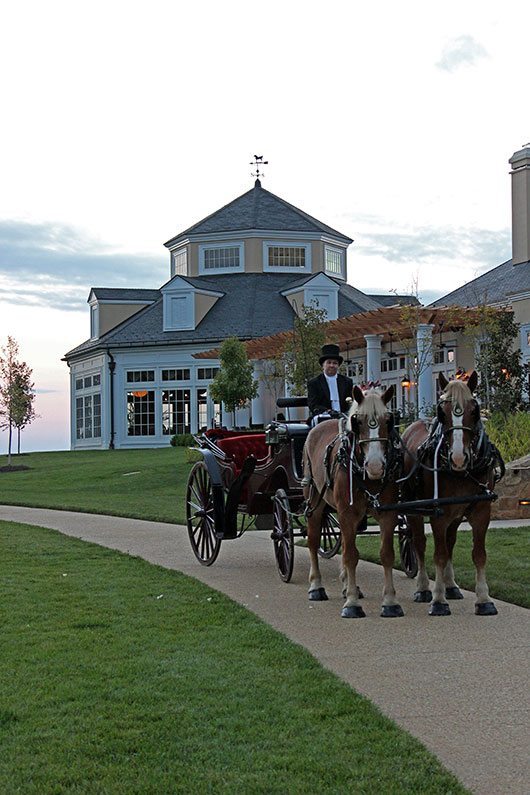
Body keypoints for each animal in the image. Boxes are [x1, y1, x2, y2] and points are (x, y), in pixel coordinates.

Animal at [302, 382, 400, 620]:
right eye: (358, 421)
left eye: (388, 420)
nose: (375, 466)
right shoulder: (347, 512)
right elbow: (351, 556)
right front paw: (352, 604)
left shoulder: (388, 513)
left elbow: (386, 555)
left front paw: (390, 602)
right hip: (315, 502)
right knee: (313, 541)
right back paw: (316, 586)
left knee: (345, 543)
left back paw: (347, 585)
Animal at [402, 370, 502, 620]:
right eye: (441, 411)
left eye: (474, 410)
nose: (458, 457)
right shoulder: (438, 514)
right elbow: (438, 554)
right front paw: (438, 601)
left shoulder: (481, 510)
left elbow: (478, 554)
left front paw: (484, 599)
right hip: (413, 508)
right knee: (419, 543)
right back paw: (423, 588)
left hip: (456, 514)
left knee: (450, 541)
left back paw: (451, 586)